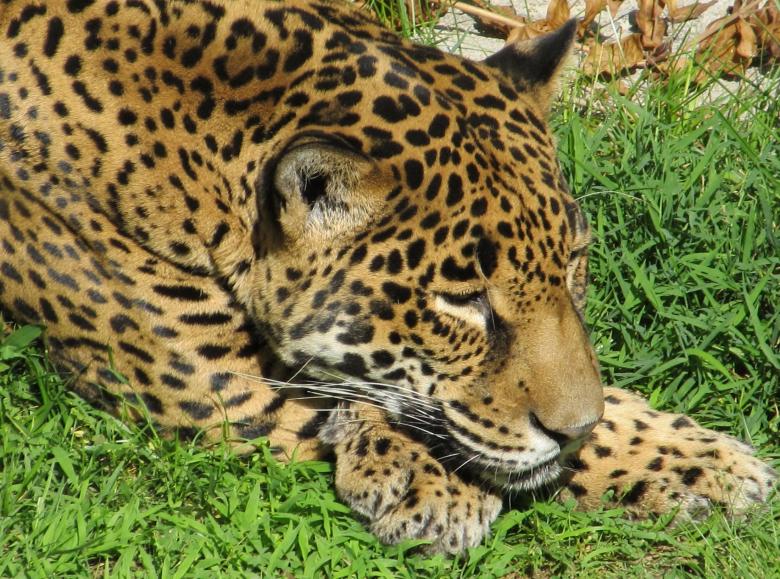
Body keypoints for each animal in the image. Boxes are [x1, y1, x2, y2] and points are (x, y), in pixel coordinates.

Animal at [0, 0, 775, 555]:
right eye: (461, 302)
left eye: (573, 261)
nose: (574, 428)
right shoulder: (207, 377)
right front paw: (428, 481)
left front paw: (693, 460)